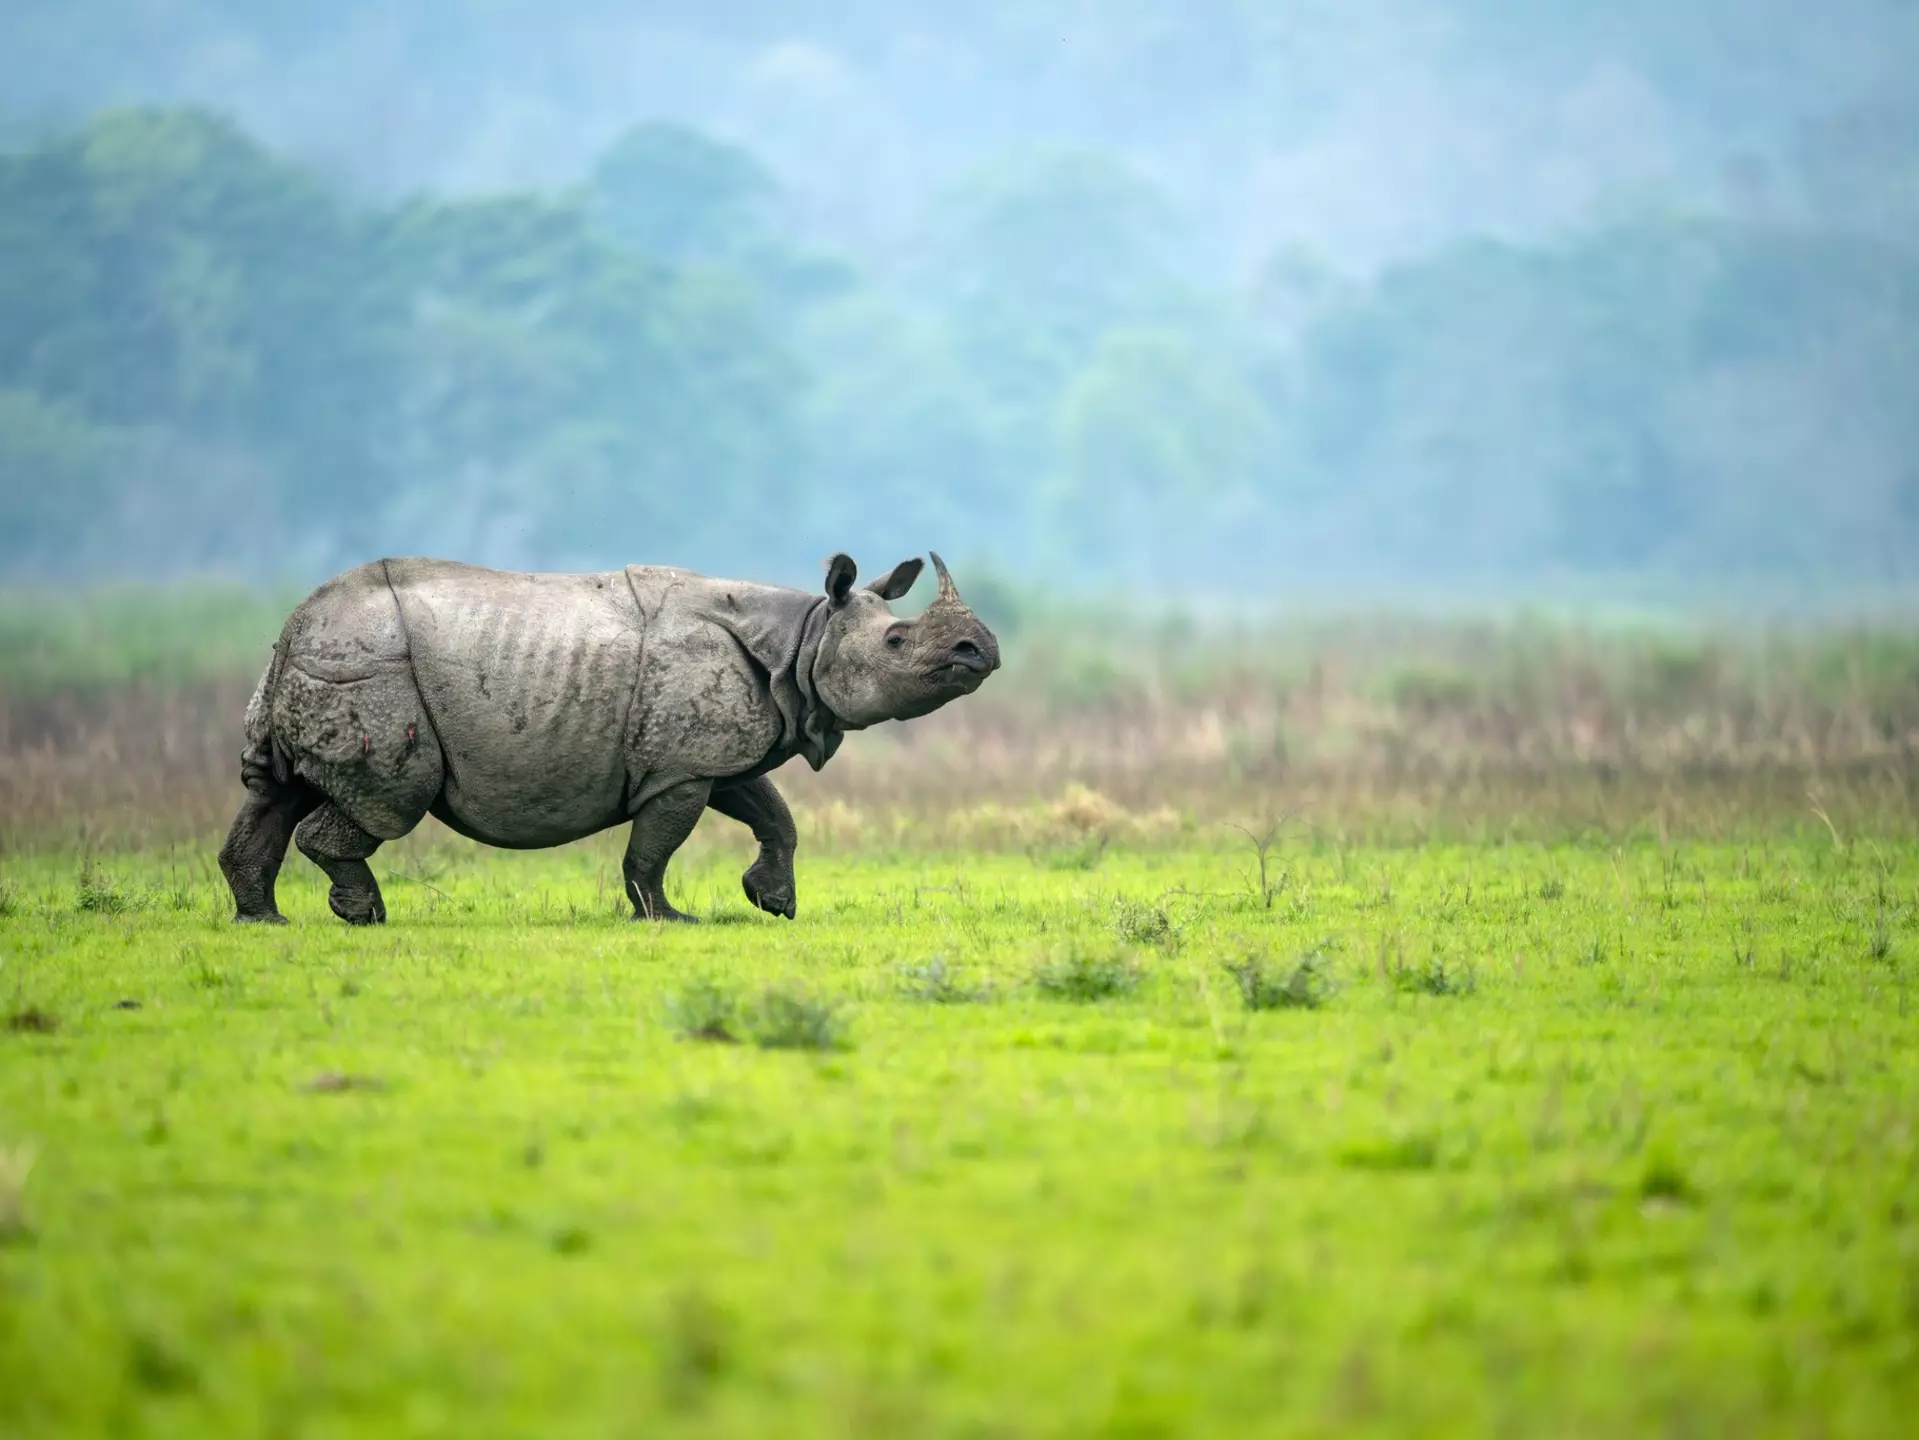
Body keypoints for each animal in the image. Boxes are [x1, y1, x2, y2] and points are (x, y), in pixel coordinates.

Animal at [216, 551, 999, 926]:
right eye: (899, 642)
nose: (979, 651)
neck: (803, 638)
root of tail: (294, 625)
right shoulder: (681, 768)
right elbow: (654, 848)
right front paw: (670, 919)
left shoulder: (709, 752)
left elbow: (773, 813)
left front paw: (771, 903)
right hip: (373, 669)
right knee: (391, 800)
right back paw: (365, 917)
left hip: (321, 662)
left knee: (277, 791)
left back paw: (266, 921)